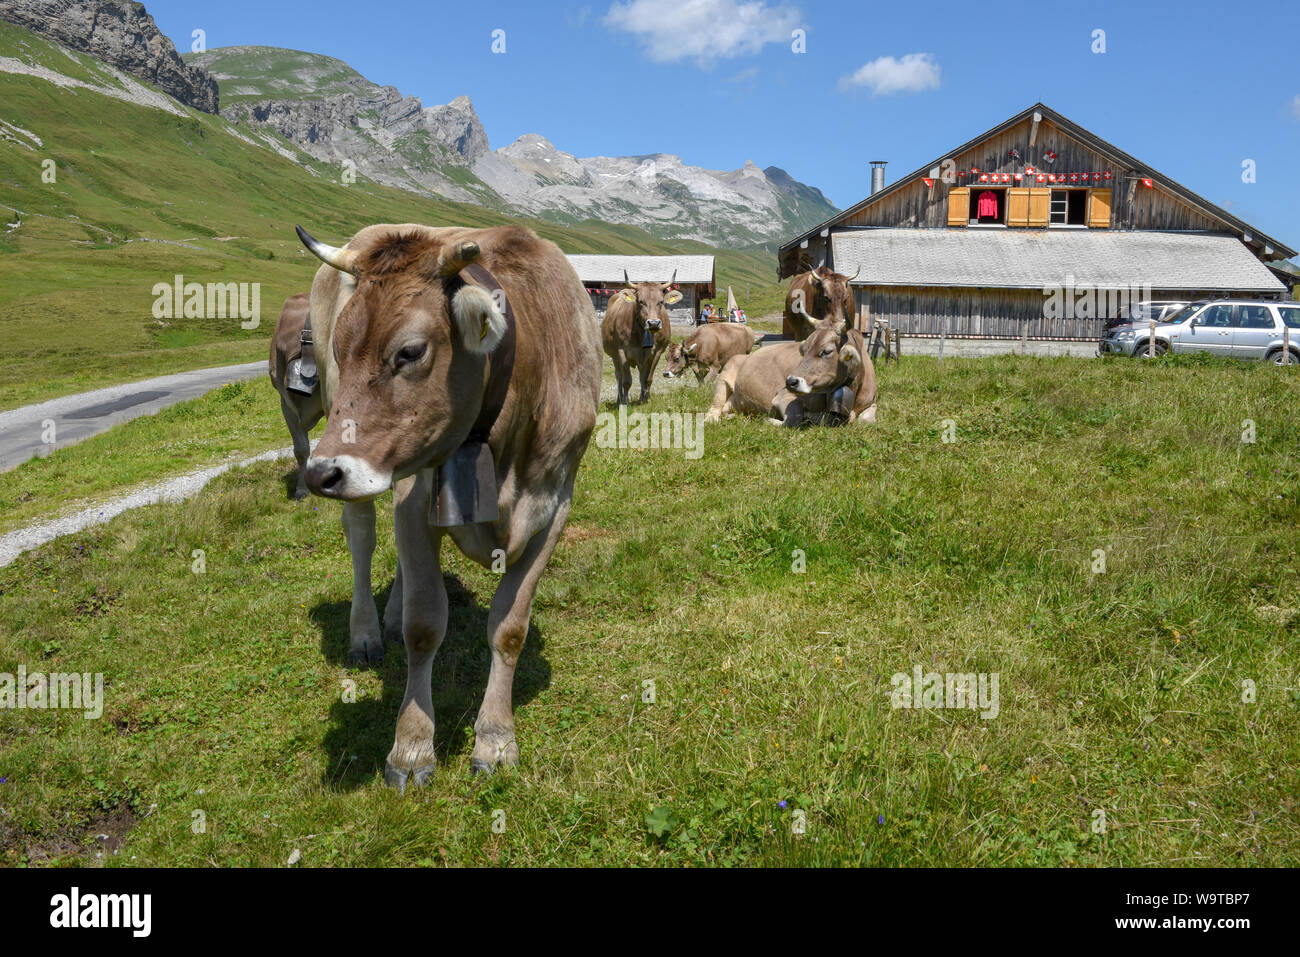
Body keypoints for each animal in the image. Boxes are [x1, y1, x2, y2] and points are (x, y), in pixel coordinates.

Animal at [296, 221, 601, 788]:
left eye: (410, 352)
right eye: (341, 348)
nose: (321, 473)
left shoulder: (554, 507)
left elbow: (509, 628)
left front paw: (496, 737)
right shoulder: (417, 499)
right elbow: (424, 625)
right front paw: (412, 747)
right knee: (363, 540)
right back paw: (367, 633)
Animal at [601, 270, 681, 404]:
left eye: (661, 302)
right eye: (640, 301)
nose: (653, 323)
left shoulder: (657, 351)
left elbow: (647, 378)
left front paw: (645, 400)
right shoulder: (621, 351)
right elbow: (626, 381)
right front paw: (625, 402)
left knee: (641, 375)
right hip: (614, 355)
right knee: (618, 376)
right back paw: (619, 399)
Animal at [704, 314, 877, 427]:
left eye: (826, 351)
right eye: (804, 350)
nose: (790, 381)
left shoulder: (872, 402)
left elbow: (866, 420)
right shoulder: (783, 397)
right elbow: (795, 419)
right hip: (724, 377)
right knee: (714, 408)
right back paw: (712, 419)